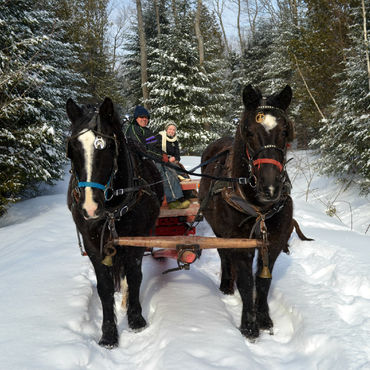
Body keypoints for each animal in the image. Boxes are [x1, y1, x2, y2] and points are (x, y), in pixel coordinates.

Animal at [66, 97, 163, 346]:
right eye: (72, 150)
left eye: (109, 147)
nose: (90, 207)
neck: (111, 211)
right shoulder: (93, 245)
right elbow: (105, 287)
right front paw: (109, 332)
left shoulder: (136, 240)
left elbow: (135, 277)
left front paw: (136, 319)